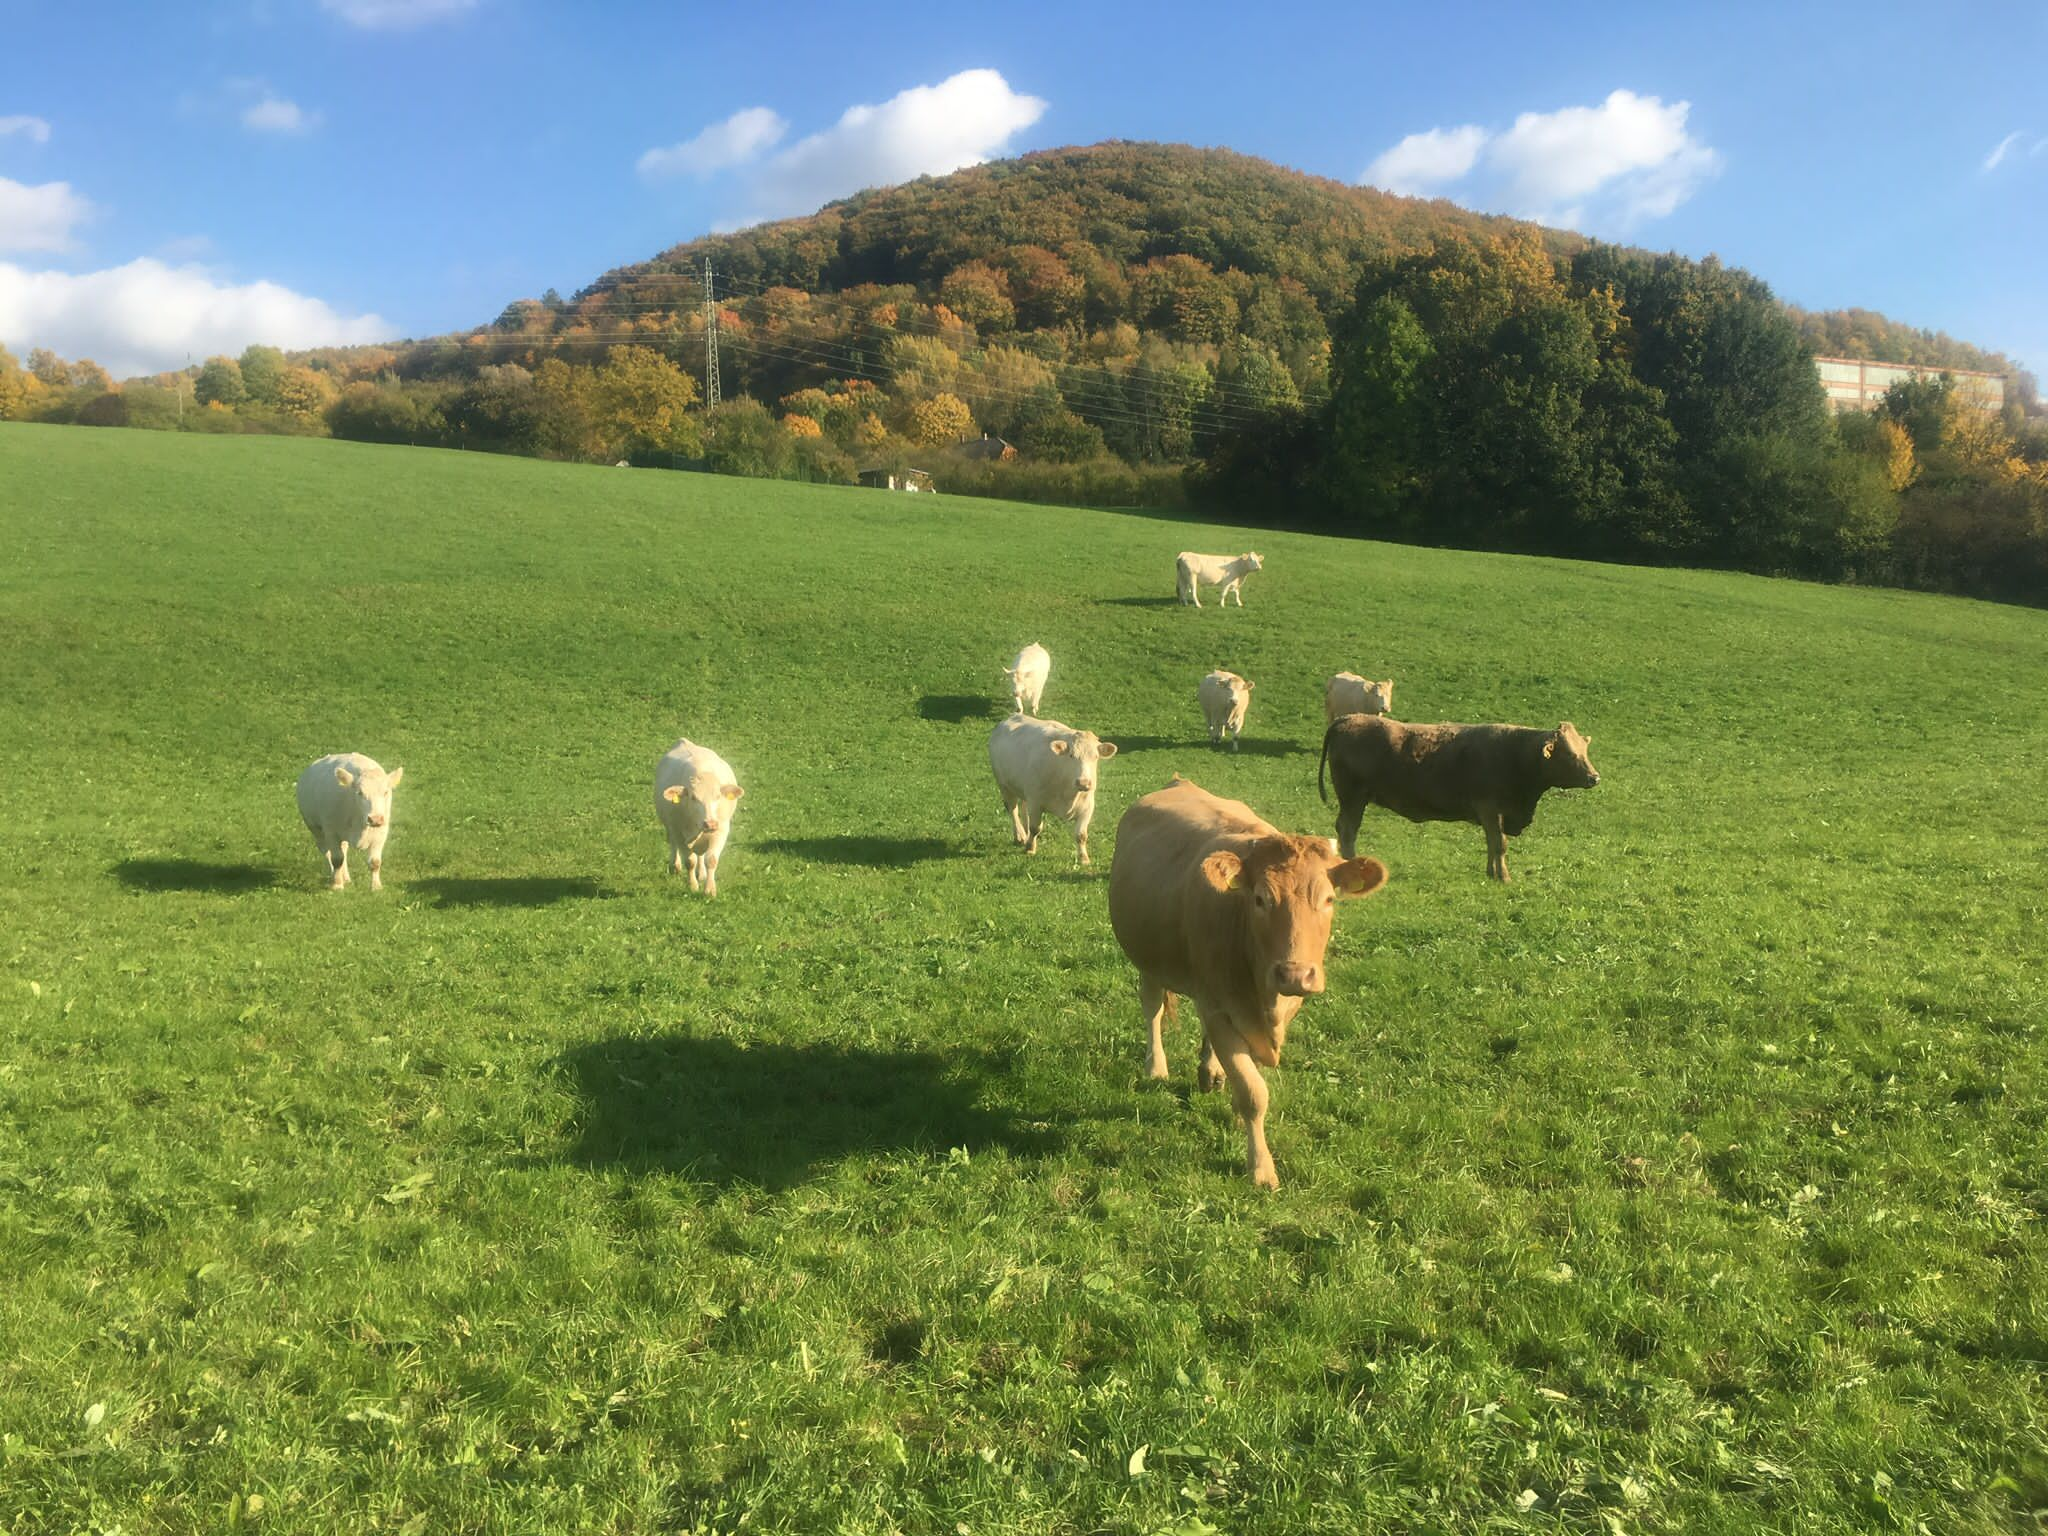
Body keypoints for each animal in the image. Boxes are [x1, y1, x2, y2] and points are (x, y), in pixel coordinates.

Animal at [296, 753, 403, 897]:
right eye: (360, 793)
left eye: (386, 792)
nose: (375, 819)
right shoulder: (331, 831)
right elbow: (336, 859)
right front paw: (337, 885)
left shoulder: (381, 833)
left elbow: (375, 862)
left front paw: (376, 887)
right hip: (315, 828)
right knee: (327, 852)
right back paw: (334, 876)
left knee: (344, 850)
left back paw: (345, 877)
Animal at [655, 741, 745, 897]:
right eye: (693, 797)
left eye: (718, 796)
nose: (710, 823)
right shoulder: (678, 831)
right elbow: (690, 861)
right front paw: (693, 886)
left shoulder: (721, 830)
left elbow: (711, 859)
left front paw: (709, 889)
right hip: (669, 826)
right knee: (673, 843)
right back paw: (675, 866)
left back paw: (701, 873)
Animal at [987, 720, 1122, 872]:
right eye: (1071, 755)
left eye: (1096, 757)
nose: (1083, 782)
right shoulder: (1036, 801)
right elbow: (1035, 828)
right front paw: (1030, 848)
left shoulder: (1087, 807)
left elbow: (1081, 835)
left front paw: (1084, 858)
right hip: (1004, 785)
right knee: (1013, 810)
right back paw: (1020, 836)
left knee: (1023, 807)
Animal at [1105, 782, 1392, 1187]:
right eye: (1260, 899)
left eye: (1328, 899)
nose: (1294, 974)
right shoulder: (1219, 1008)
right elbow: (1254, 1091)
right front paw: (1260, 1167)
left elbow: (1247, 1074)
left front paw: (1231, 1101)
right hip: (1147, 956)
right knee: (1153, 1007)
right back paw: (1156, 1067)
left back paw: (1210, 1071)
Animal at [1318, 716, 1605, 884]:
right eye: (1570, 754)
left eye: (1584, 750)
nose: (1594, 777)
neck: (1515, 754)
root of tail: (1348, 718)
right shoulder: (1490, 809)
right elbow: (1499, 844)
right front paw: (1504, 877)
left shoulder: (1495, 816)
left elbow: (1492, 843)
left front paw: (1492, 873)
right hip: (1353, 798)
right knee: (1348, 831)